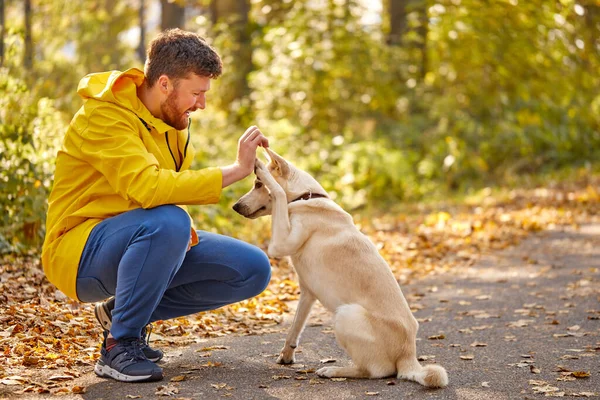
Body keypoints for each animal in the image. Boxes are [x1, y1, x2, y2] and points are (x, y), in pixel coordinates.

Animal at [232, 148, 448, 388]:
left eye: (258, 184)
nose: (235, 207)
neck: (305, 196)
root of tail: (408, 354)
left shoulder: (279, 244)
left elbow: (278, 193)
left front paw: (261, 167)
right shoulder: (307, 293)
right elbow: (294, 329)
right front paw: (286, 356)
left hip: (345, 314)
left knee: (376, 371)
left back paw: (333, 370)